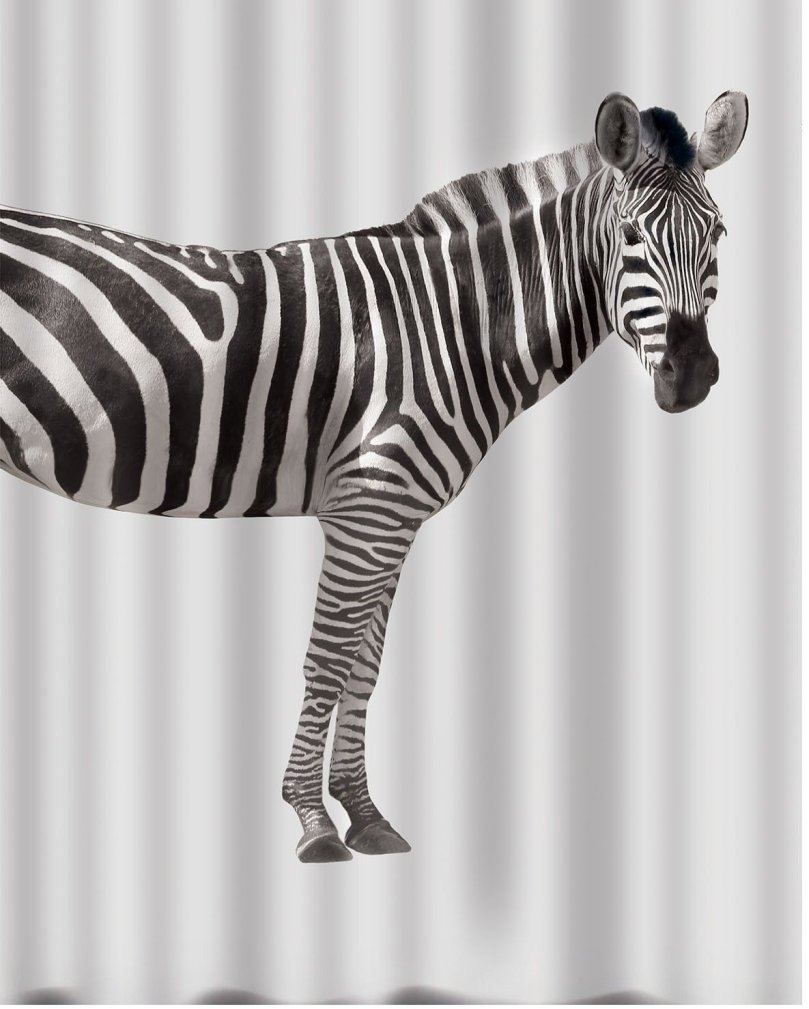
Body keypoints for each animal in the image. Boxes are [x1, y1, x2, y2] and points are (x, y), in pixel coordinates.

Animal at [0, 91, 748, 862]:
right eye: (630, 235)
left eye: (719, 232)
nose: (690, 377)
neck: (451, 325)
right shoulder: (368, 505)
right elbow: (328, 659)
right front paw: (312, 820)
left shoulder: (391, 515)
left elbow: (366, 662)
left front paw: (363, 813)